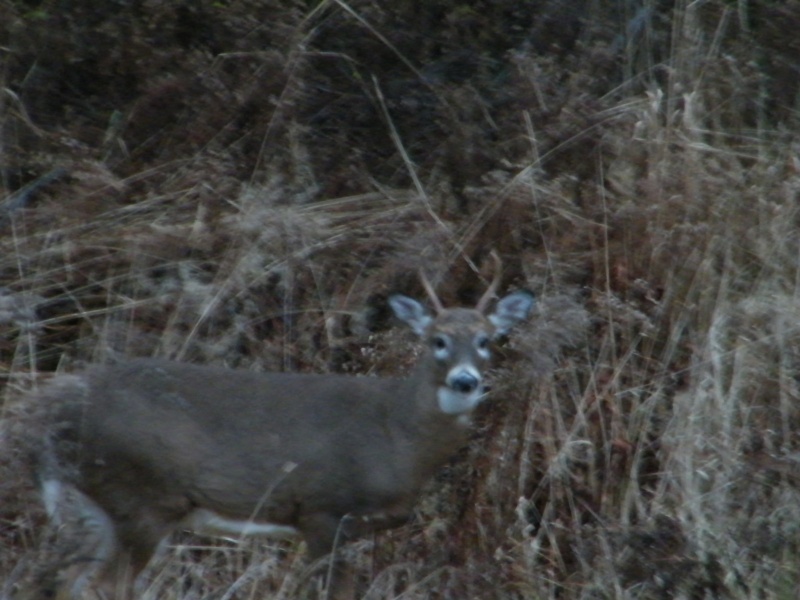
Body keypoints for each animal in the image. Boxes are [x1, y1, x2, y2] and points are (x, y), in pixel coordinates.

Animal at [7, 254, 536, 600]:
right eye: (437, 340)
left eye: (488, 340)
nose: (465, 381)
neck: (396, 436)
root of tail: (44, 415)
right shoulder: (323, 509)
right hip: (141, 496)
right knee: (104, 587)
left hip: (89, 504)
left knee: (59, 583)